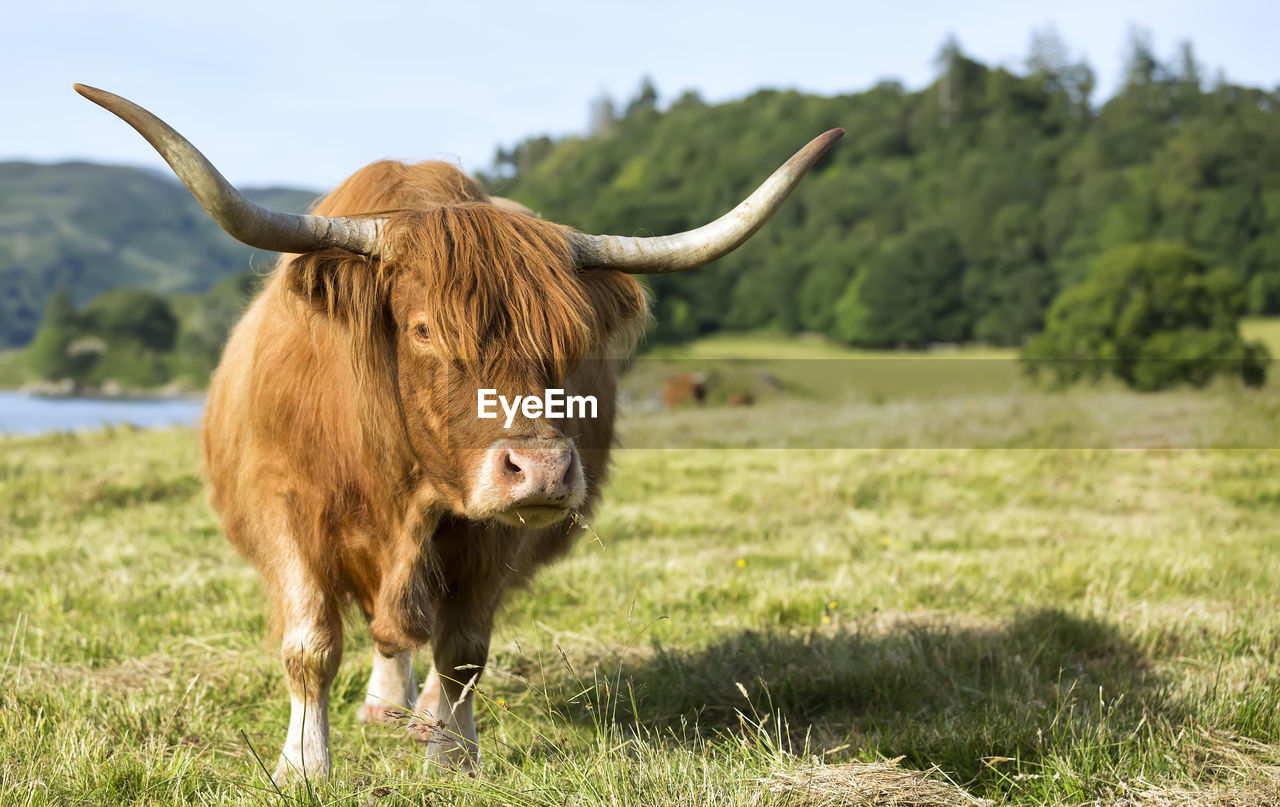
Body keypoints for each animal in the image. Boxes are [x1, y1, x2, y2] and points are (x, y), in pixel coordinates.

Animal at [80, 83, 839, 783]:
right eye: (423, 329)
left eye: (569, 341)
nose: (541, 470)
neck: (399, 484)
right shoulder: (285, 507)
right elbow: (311, 644)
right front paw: (303, 764)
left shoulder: (493, 535)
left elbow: (463, 650)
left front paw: (451, 754)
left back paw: (416, 716)